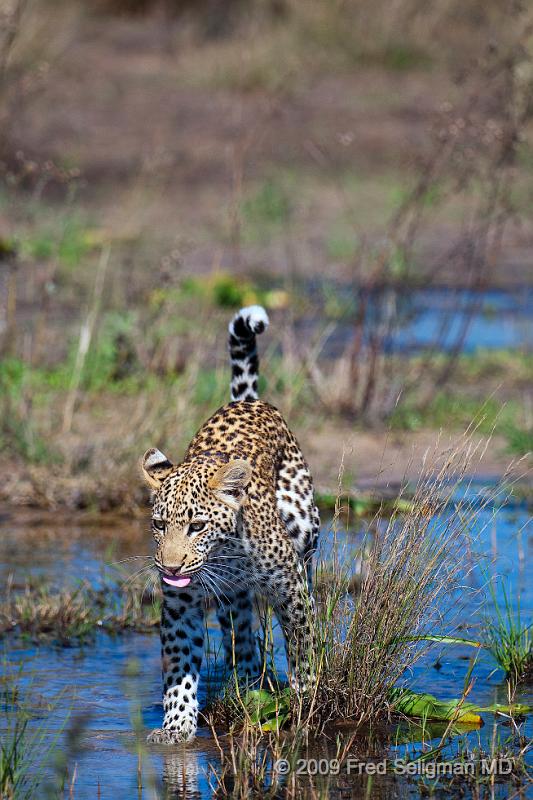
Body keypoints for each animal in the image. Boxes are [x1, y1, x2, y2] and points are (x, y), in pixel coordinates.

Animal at [139, 304, 320, 740]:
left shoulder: (288, 583)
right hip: (232, 600)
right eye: (159, 525)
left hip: (305, 534)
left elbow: (301, 639)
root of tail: (248, 402)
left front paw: (306, 697)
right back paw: (250, 685)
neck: (225, 555)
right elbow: (180, 662)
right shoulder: (181, 603)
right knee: (242, 635)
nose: (170, 567)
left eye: (197, 526)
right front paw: (176, 725)